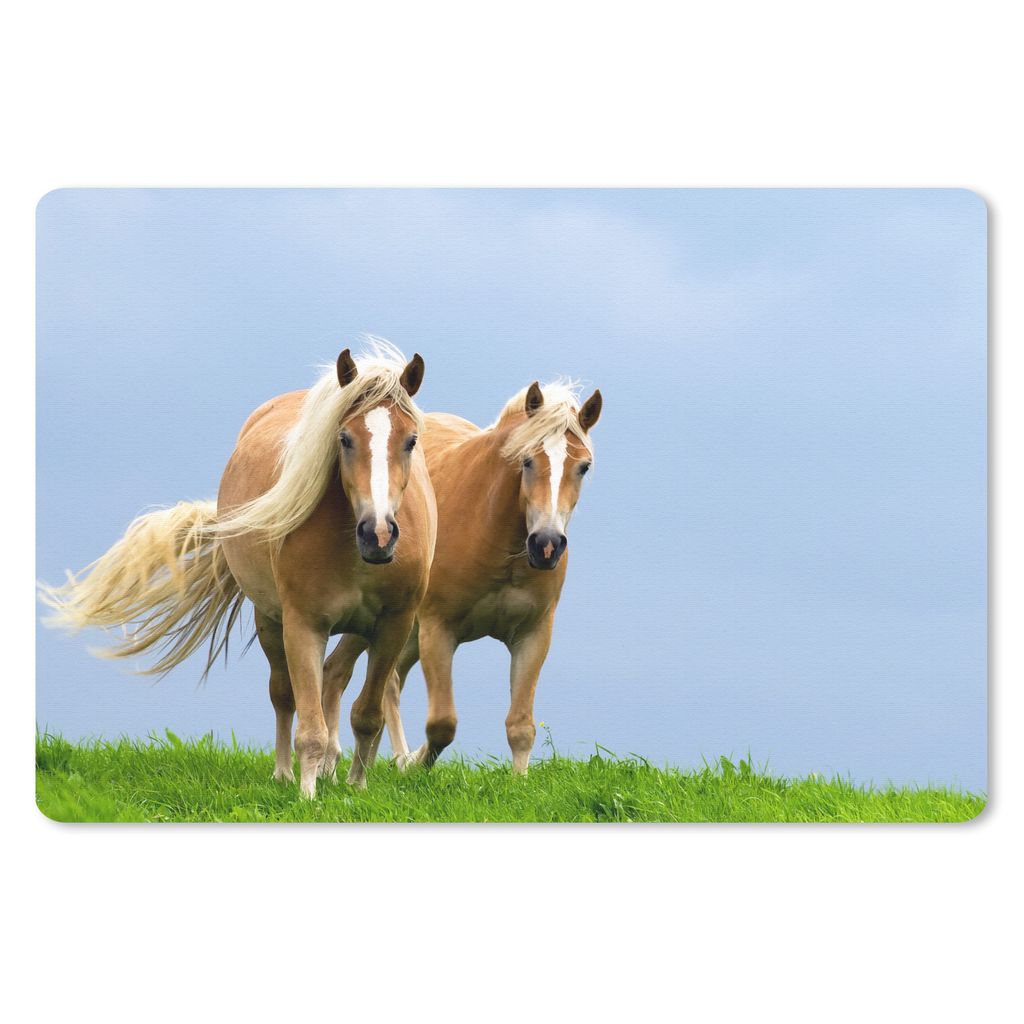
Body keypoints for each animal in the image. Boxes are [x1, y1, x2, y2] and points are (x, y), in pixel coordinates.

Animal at [41, 342, 436, 798]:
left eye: (410, 440)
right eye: (344, 438)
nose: (379, 533)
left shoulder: (393, 625)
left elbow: (367, 715)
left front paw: (357, 788)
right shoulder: (303, 624)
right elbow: (309, 727)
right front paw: (308, 797)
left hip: (357, 631)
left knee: (334, 682)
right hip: (269, 619)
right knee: (284, 695)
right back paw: (285, 774)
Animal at [321, 378, 602, 774]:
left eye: (584, 467)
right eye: (527, 460)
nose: (546, 545)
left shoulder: (533, 634)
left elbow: (521, 726)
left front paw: (519, 780)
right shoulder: (438, 630)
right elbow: (442, 724)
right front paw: (414, 764)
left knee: (371, 677)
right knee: (350, 675)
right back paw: (348, 760)